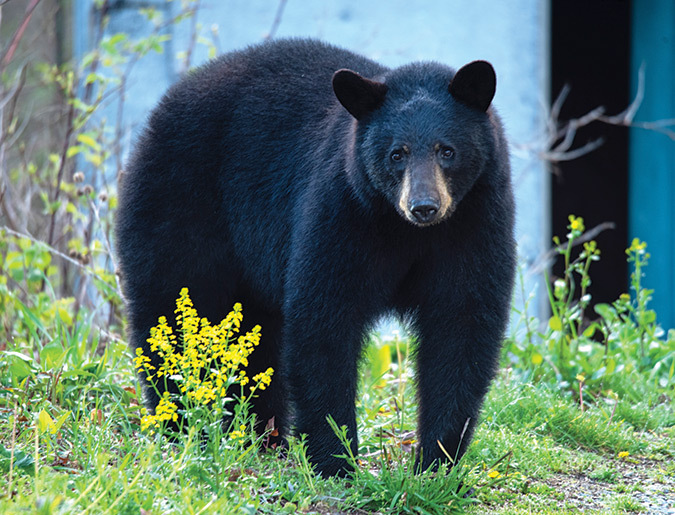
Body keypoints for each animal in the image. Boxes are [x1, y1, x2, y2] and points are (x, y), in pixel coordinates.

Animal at [115, 38, 516, 477]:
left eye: (447, 151)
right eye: (397, 154)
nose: (424, 206)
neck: (406, 232)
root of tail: (168, 101)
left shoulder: (474, 225)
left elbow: (460, 326)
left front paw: (437, 463)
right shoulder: (342, 212)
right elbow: (324, 322)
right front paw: (336, 460)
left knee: (255, 339)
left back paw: (260, 437)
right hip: (180, 203)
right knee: (173, 312)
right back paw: (183, 422)